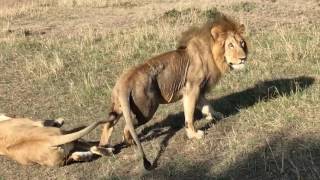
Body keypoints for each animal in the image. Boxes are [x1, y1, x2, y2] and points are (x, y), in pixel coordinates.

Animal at [99, 14, 249, 170]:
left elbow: (207, 105)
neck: (212, 54)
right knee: (127, 126)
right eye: (230, 45)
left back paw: (103, 149)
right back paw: (127, 141)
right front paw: (194, 135)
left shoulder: (199, 89)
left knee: (107, 125)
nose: (243, 58)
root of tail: (124, 82)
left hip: (119, 106)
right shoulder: (191, 89)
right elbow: (189, 116)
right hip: (146, 110)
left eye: (242, 43)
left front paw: (214, 115)